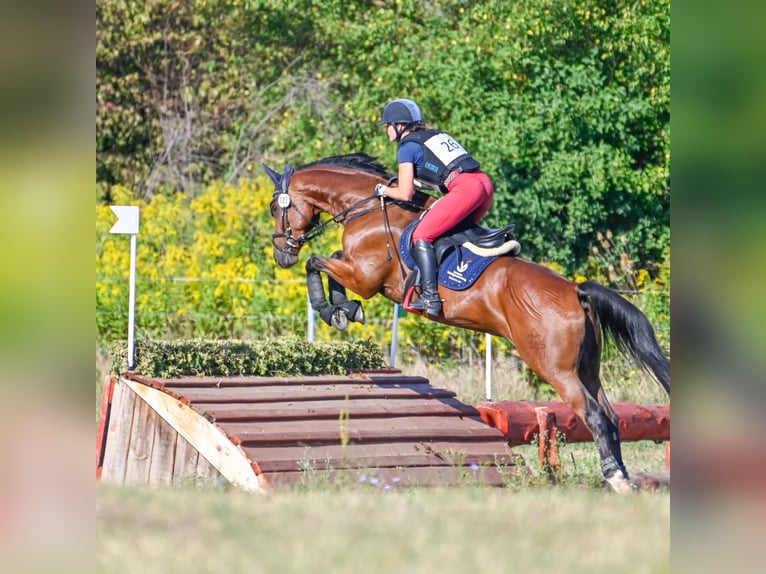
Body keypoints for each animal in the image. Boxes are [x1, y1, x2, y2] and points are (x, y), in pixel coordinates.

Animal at [264, 153, 672, 496]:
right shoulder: (356, 270)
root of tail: (575, 290)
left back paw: (617, 480)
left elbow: (317, 262)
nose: (282, 255)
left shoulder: (366, 277)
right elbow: (329, 263)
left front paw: (332, 309)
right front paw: (343, 310)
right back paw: (620, 475)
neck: (365, 207)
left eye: (274, 207)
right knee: (611, 415)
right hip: (587, 367)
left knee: (594, 416)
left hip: (556, 369)